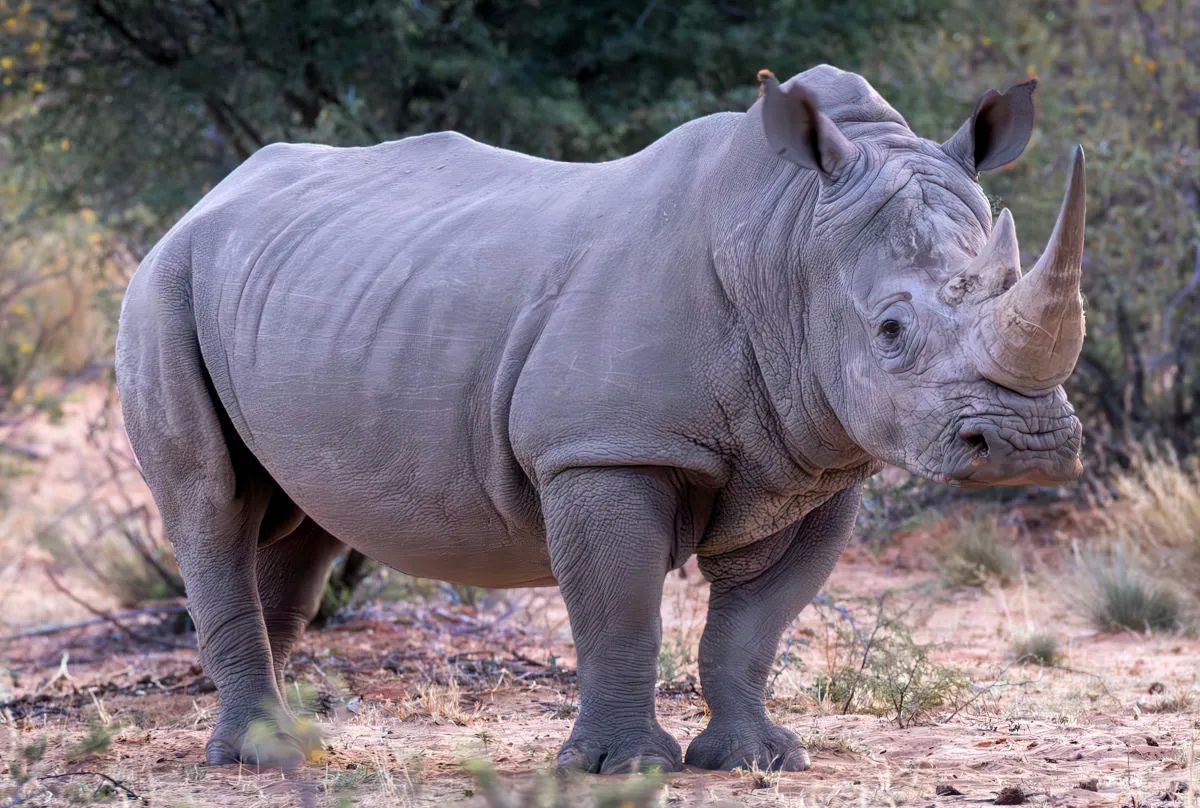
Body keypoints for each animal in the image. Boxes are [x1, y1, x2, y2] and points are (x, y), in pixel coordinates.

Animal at [116, 64, 1085, 774]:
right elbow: (622, 611)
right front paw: (625, 768)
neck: (788, 243)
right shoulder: (604, 450)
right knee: (211, 505)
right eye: (890, 330)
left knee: (299, 521)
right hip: (162, 282)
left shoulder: (818, 461)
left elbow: (753, 628)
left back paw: (284, 746)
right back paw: (252, 757)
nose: (1028, 446)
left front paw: (757, 762)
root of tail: (205, 200)